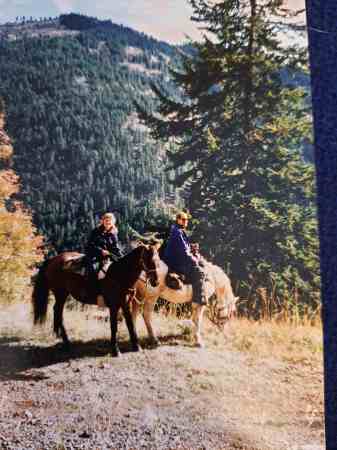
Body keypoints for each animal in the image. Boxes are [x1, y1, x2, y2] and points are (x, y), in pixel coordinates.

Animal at [31, 244, 159, 356]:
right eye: (147, 259)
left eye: (157, 260)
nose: (156, 282)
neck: (120, 275)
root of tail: (52, 260)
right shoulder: (113, 306)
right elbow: (114, 326)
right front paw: (115, 350)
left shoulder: (125, 304)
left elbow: (130, 324)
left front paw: (136, 346)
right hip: (60, 293)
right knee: (58, 311)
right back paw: (66, 342)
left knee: (56, 311)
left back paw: (58, 335)